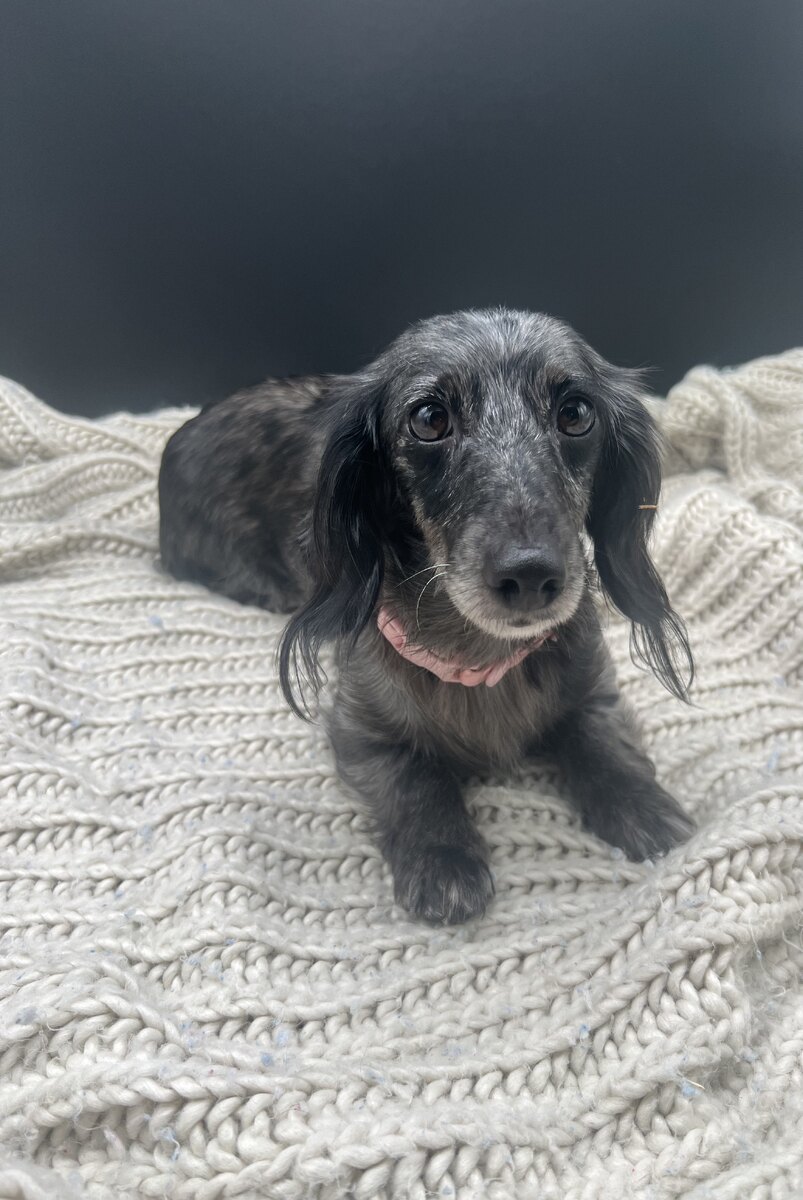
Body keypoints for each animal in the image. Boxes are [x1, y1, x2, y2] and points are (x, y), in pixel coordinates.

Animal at [158, 309, 694, 923]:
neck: (481, 656)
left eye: (576, 413)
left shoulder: (595, 691)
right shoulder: (360, 732)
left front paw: (644, 804)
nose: (531, 576)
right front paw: (442, 858)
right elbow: (416, 779)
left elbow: (601, 742)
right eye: (430, 419)